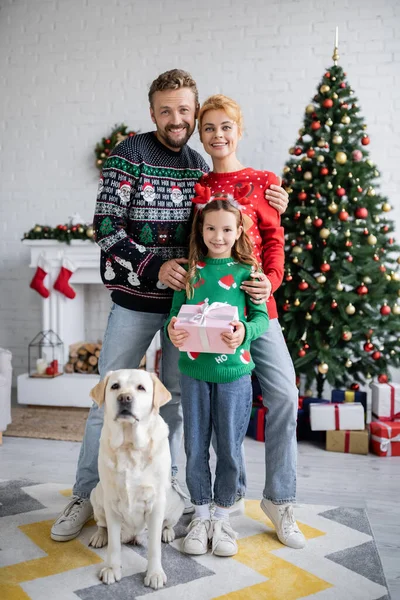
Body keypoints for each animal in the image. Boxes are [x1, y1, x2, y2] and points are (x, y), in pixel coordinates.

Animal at [87, 368, 184, 588]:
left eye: (141, 388)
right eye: (115, 386)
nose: (125, 398)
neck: (129, 445)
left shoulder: (156, 504)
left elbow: (154, 548)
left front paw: (154, 574)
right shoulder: (111, 502)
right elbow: (114, 545)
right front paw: (112, 569)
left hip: (176, 501)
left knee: (167, 524)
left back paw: (167, 532)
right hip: (96, 494)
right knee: (102, 524)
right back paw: (99, 536)